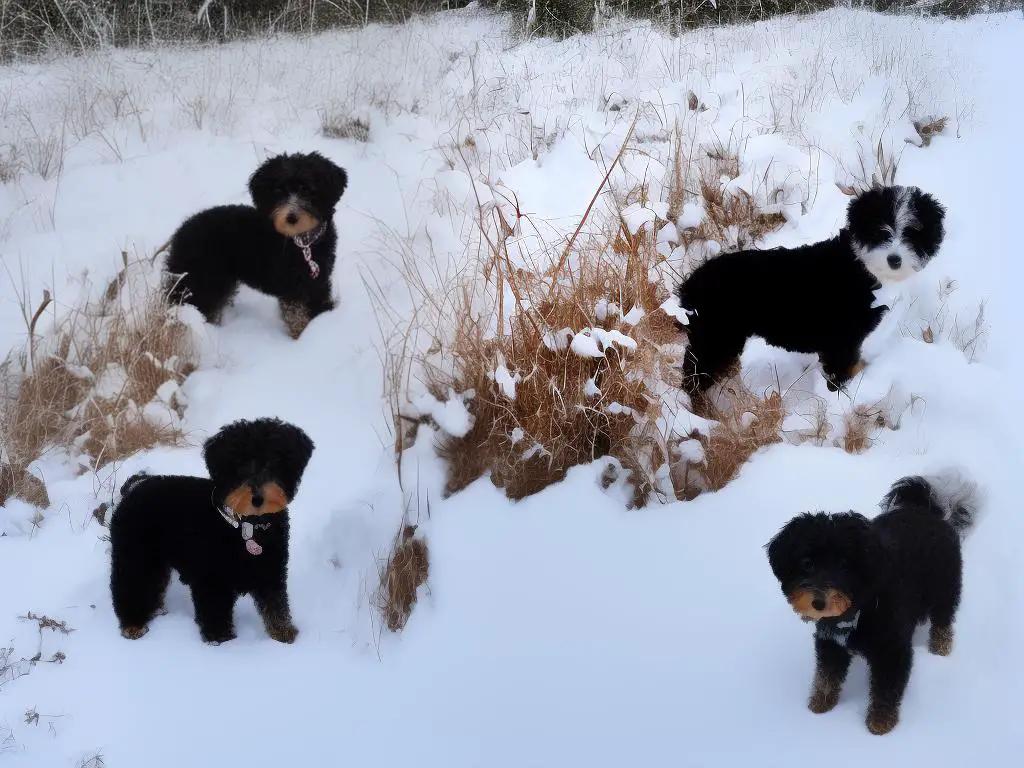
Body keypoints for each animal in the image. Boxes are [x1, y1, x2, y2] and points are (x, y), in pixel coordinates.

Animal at [109, 417, 313, 647]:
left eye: (274, 461)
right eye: (239, 465)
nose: (258, 498)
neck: (246, 526)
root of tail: (133, 488)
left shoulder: (270, 570)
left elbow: (276, 604)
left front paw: (284, 635)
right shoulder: (212, 581)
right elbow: (215, 612)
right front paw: (221, 641)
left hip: (156, 559)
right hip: (135, 556)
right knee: (129, 587)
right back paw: (133, 625)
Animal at [163, 151, 348, 337]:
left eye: (306, 189)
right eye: (279, 191)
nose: (291, 218)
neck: (303, 243)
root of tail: (179, 234)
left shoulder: (319, 282)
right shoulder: (292, 288)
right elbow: (297, 319)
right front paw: (301, 338)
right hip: (203, 282)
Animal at [675, 185, 946, 397]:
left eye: (913, 232)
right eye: (880, 230)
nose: (895, 260)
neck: (858, 266)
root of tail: (692, 284)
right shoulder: (842, 342)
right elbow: (841, 374)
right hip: (715, 338)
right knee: (693, 375)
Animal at [765, 468, 978, 741]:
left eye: (844, 564)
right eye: (807, 563)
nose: (819, 602)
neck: (859, 609)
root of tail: (925, 508)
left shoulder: (892, 650)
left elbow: (886, 688)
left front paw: (880, 721)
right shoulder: (830, 642)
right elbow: (826, 675)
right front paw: (820, 703)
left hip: (944, 585)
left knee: (943, 617)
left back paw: (940, 648)